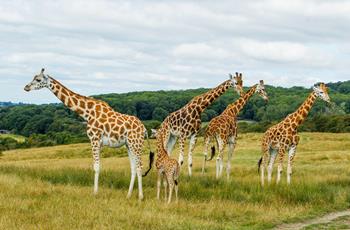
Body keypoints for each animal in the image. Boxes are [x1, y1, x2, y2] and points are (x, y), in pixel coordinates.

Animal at [22, 68, 152, 199]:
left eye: (38, 79)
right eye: (33, 78)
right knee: (133, 167)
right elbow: (97, 166)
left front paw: (95, 193)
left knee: (140, 166)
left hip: (136, 143)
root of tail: (144, 129)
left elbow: (96, 167)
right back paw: (128, 195)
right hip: (128, 145)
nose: (26, 87)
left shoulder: (94, 138)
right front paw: (96, 192)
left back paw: (141, 196)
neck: (87, 113)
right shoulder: (98, 142)